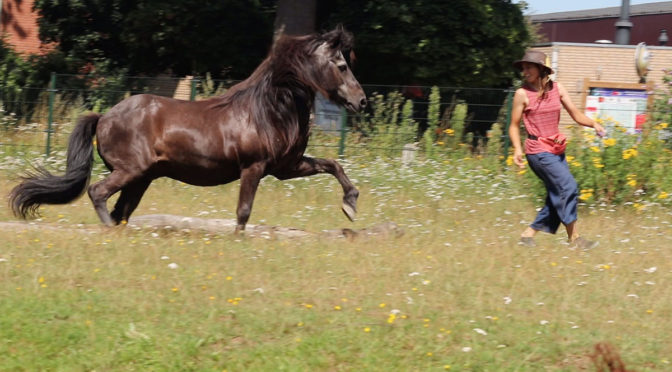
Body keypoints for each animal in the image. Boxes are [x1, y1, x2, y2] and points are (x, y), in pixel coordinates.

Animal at [9, 27, 368, 232]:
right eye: (341, 66)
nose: (361, 101)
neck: (266, 110)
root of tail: (105, 117)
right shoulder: (253, 167)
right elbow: (243, 212)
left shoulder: (285, 166)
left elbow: (333, 165)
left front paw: (350, 206)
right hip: (131, 171)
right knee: (98, 193)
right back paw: (109, 231)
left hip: (142, 178)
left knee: (122, 209)